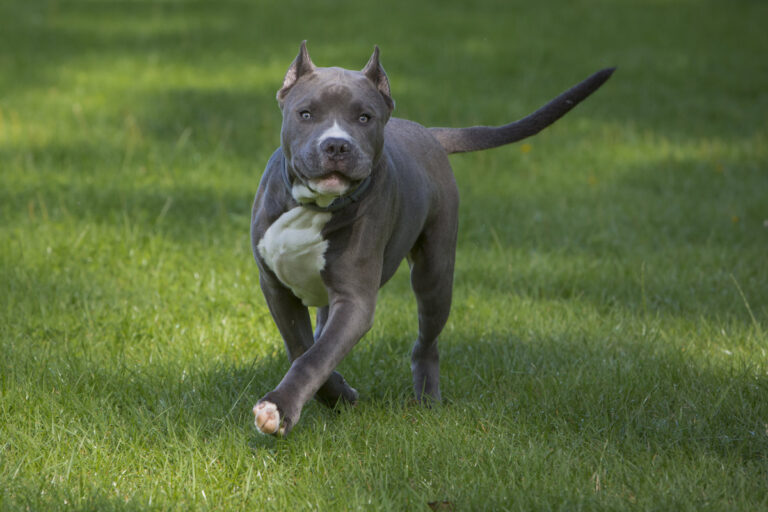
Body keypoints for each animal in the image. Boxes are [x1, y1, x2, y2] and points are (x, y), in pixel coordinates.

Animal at [250, 41, 612, 436]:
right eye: (306, 114)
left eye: (364, 118)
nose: (336, 146)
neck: (313, 206)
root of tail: (427, 132)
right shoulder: (275, 288)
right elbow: (304, 349)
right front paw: (336, 395)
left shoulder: (355, 300)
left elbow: (314, 357)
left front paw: (282, 406)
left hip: (435, 275)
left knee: (426, 342)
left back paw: (427, 399)